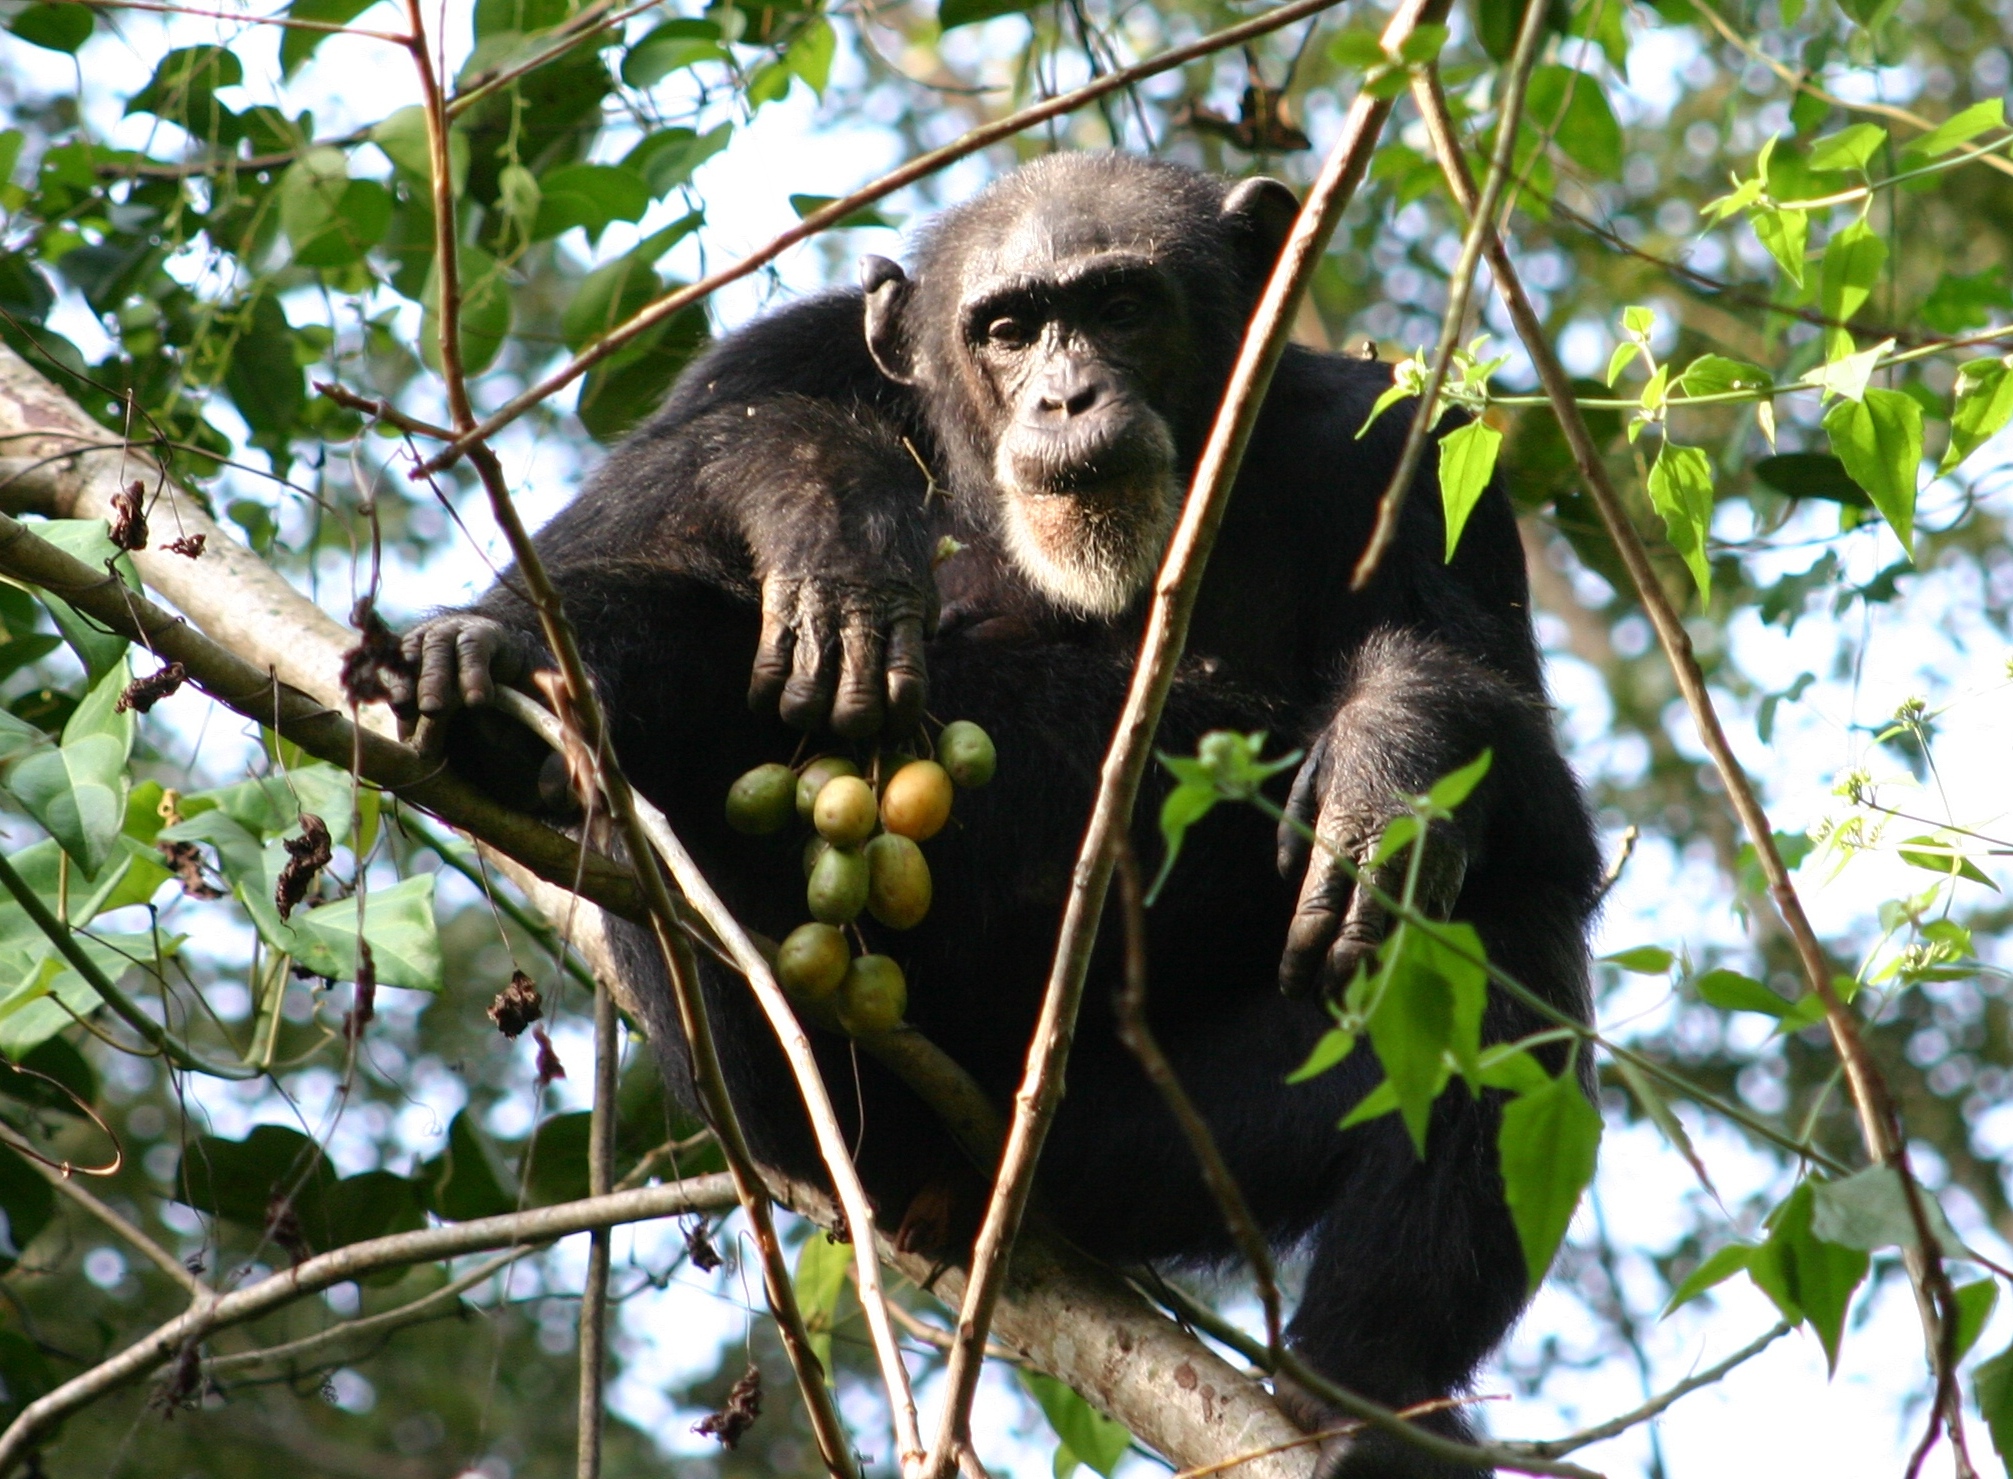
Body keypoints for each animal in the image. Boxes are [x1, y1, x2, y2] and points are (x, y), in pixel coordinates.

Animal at [396, 155, 1602, 1472]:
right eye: (1010, 330)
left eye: (1121, 306)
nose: (1069, 397)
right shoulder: (765, 360)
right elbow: (598, 531)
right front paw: (827, 500)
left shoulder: (1402, 452)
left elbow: (1515, 743)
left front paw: (1388, 760)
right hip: (815, 1121)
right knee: (651, 639)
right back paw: (493, 684)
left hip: (1126, 1159)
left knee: (1498, 954)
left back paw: (1370, 1404)